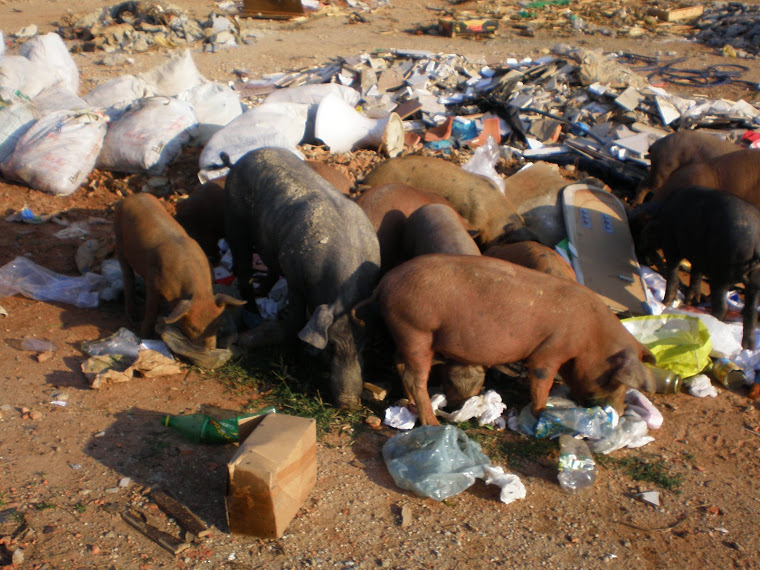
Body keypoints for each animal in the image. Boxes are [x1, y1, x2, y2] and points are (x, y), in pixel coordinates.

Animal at [113, 193, 245, 348]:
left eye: (217, 325)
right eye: (192, 327)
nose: (210, 349)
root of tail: (132, 197)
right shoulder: (152, 282)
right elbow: (151, 310)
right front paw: (143, 336)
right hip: (118, 238)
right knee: (127, 276)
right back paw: (131, 318)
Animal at [360, 253, 656, 422]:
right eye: (614, 381)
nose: (619, 413)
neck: (592, 339)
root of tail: (383, 284)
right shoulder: (549, 352)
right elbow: (541, 383)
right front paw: (541, 414)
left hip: (405, 333)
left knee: (400, 365)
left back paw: (409, 405)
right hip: (416, 329)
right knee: (415, 376)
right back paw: (432, 423)